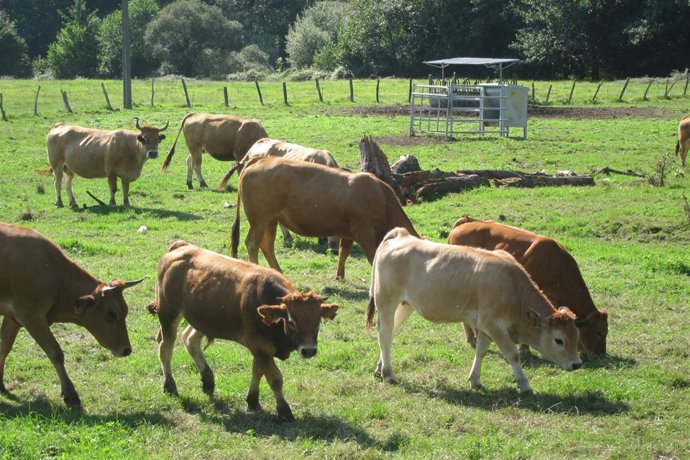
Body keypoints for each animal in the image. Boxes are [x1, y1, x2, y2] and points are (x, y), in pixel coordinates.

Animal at [0, 222, 140, 406]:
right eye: (112, 314)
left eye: (126, 312)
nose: (126, 350)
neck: (52, 270)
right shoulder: (31, 316)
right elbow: (55, 352)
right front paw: (70, 393)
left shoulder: (13, 317)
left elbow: (4, 347)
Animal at [147, 240, 338, 422]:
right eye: (291, 321)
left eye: (318, 322)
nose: (309, 350)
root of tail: (181, 247)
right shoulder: (260, 347)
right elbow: (274, 378)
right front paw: (284, 411)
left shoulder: (259, 347)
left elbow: (257, 372)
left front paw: (252, 401)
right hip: (168, 313)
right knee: (165, 348)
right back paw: (170, 385)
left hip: (202, 319)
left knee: (189, 339)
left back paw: (208, 380)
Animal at [231, 156, 419, 280]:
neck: (380, 196)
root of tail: (260, 159)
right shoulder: (365, 233)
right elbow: (373, 258)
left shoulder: (349, 233)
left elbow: (343, 253)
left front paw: (340, 276)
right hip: (259, 220)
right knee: (252, 243)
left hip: (271, 221)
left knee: (267, 245)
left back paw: (279, 272)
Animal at [365, 227, 582, 394]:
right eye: (559, 340)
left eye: (577, 336)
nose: (577, 364)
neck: (511, 286)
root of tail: (401, 235)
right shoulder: (493, 324)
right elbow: (512, 354)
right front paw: (524, 384)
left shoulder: (484, 325)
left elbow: (481, 351)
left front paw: (475, 379)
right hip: (386, 300)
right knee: (384, 333)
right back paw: (389, 374)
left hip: (405, 304)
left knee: (389, 332)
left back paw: (380, 367)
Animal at [447, 216, 608, 358]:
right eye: (599, 332)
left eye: (606, 331)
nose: (601, 354)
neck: (554, 264)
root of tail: (464, 222)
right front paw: (525, 349)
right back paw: (472, 339)